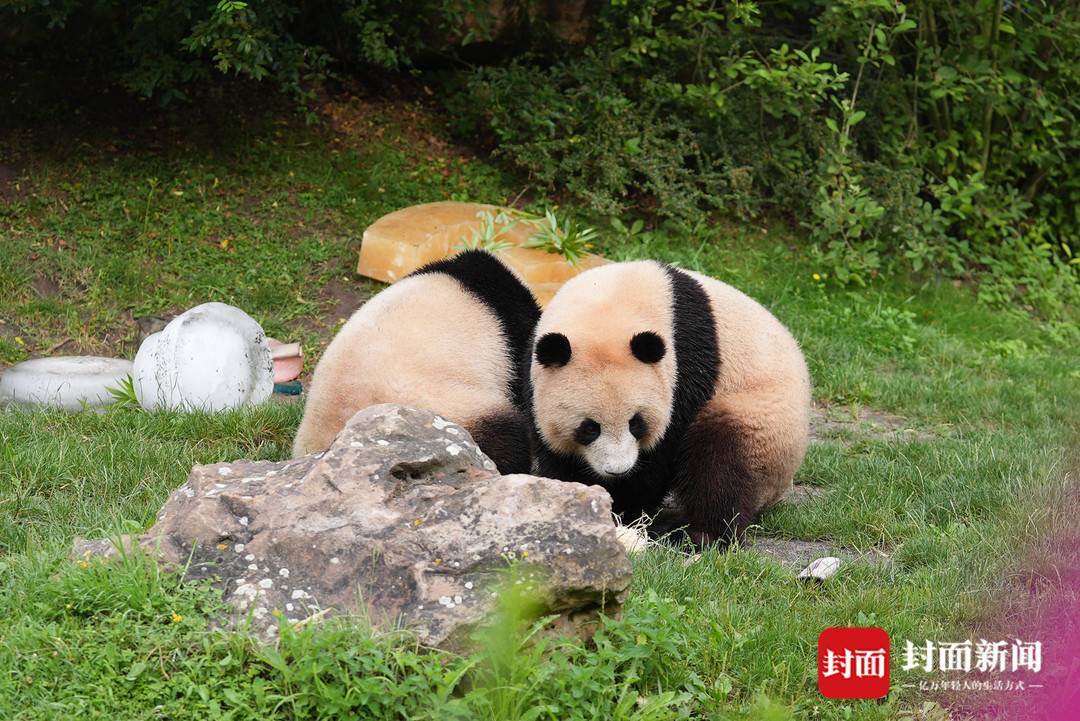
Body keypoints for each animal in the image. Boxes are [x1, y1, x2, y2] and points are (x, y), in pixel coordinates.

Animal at [522, 259, 812, 546]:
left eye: (636, 423)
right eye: (589, 428)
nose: (618, 470)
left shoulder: (683, 366)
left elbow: (661, 452)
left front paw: (625, 507)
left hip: (759, 418)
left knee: (723, 464)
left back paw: (699, 534)